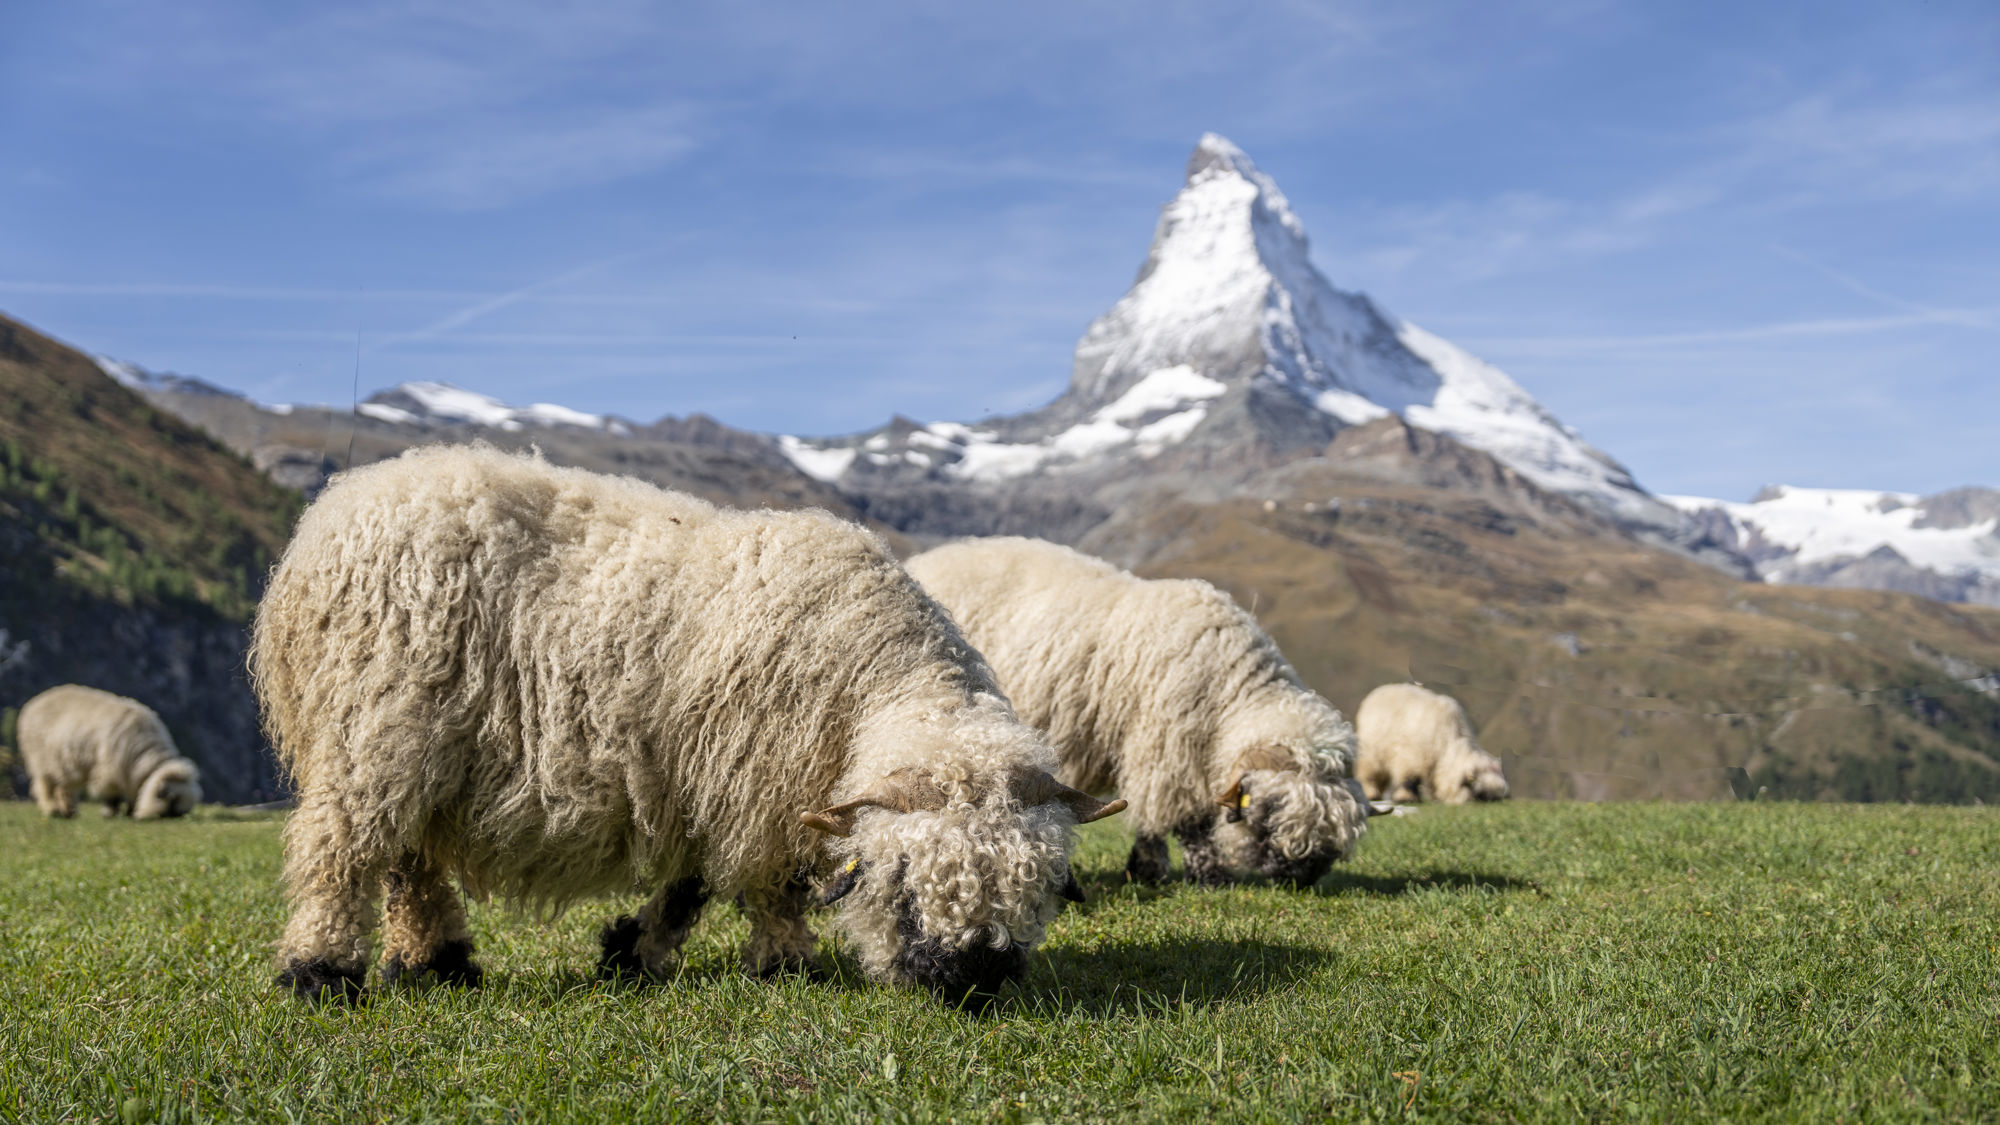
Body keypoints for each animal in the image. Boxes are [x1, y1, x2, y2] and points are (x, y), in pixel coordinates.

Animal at [17, 685, 202, 820]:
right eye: (172, 802)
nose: (179, 818)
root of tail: (34, 702)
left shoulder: (127, 773)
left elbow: (133, 793)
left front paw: (130, 811)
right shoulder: (110, 772)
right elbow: (112, 796)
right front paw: (110, 813)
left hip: (63, 766)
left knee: (64, 788)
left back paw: (69, 812)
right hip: (41, 761)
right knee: (45, 786)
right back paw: (53, 810)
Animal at [249, 445, 1123, 1008]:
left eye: (1037, 889)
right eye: (906, 887)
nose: (970, 984)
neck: (871, 679)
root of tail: (333, 511)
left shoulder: (714, 782)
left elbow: (689, 886)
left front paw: (631, 953)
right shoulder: (762, 785)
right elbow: (773, 885)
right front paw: (785, 965)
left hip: (410, 746)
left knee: (408, 859)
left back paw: (436, 963)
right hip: (374, 725)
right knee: (342, 849)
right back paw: (320, 971)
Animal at [904, 537, 1366, 889]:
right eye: (1268, 813)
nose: (1303, 876)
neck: (1232, 687)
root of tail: (926, 558)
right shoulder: (1165, 748)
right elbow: (1182, 820)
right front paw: (1194, 875)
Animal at [1354, 683, 1509, 804]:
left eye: (1498, 796)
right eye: (1480, 794)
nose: (1495, 803)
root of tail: (1381, 689)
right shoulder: (1412, 757)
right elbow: (1410, 780)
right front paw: (1406, 798)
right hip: (1371, 750)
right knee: (1369, 772)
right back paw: (1371, 793)